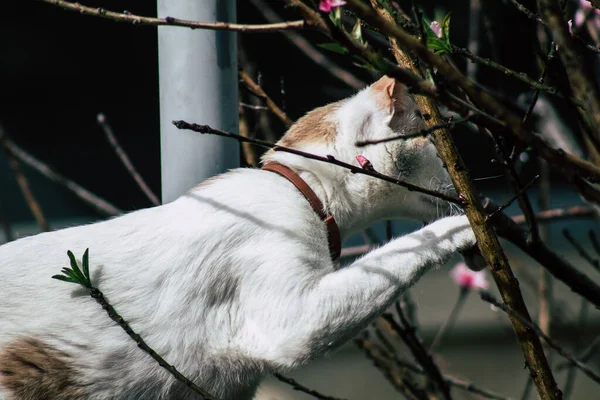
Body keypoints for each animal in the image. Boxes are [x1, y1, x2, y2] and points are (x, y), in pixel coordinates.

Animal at [0, 76, 478, 400]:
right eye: (441, 149)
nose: (468, 184)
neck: (304, 189)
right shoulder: (294, 320)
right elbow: (406, 249)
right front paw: (468, 226)